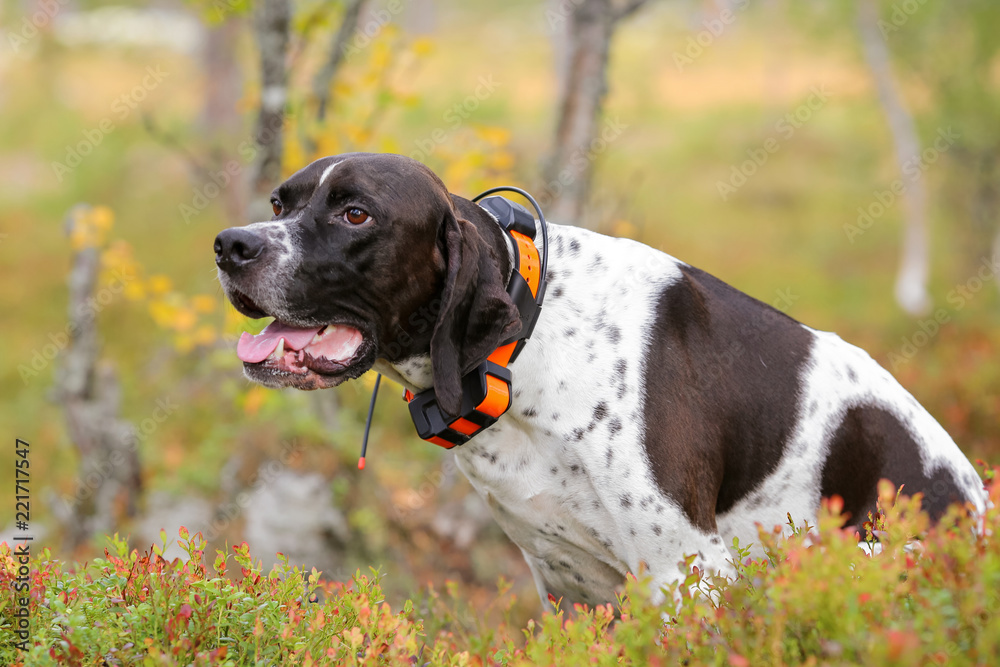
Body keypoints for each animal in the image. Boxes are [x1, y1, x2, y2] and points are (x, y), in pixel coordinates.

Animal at [215, 153, 988, 612]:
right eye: (281, 204)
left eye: (356, 213)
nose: (230, 245)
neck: (526, 350)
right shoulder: (573, 587)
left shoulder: (685, 574)